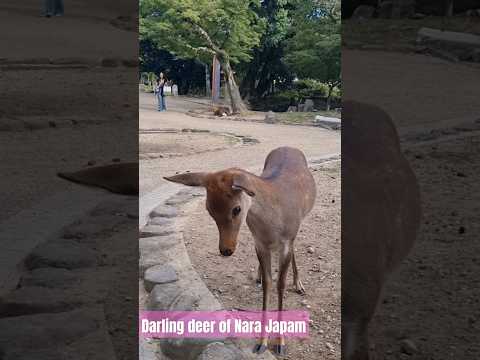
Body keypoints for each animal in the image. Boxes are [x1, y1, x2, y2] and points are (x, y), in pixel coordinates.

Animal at [163, 146, 316, 354]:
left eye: (236, 209)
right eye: (209, 209)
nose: (226, 250)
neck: (273, 222)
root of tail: (288, 147)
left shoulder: (287, 240)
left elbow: (280, 284)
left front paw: (280, 344)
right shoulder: (259, 242)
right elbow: (268, 283)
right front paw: (261, 343)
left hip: (299, 224)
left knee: (295, 248)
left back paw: (299, 285)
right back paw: (259, 276)